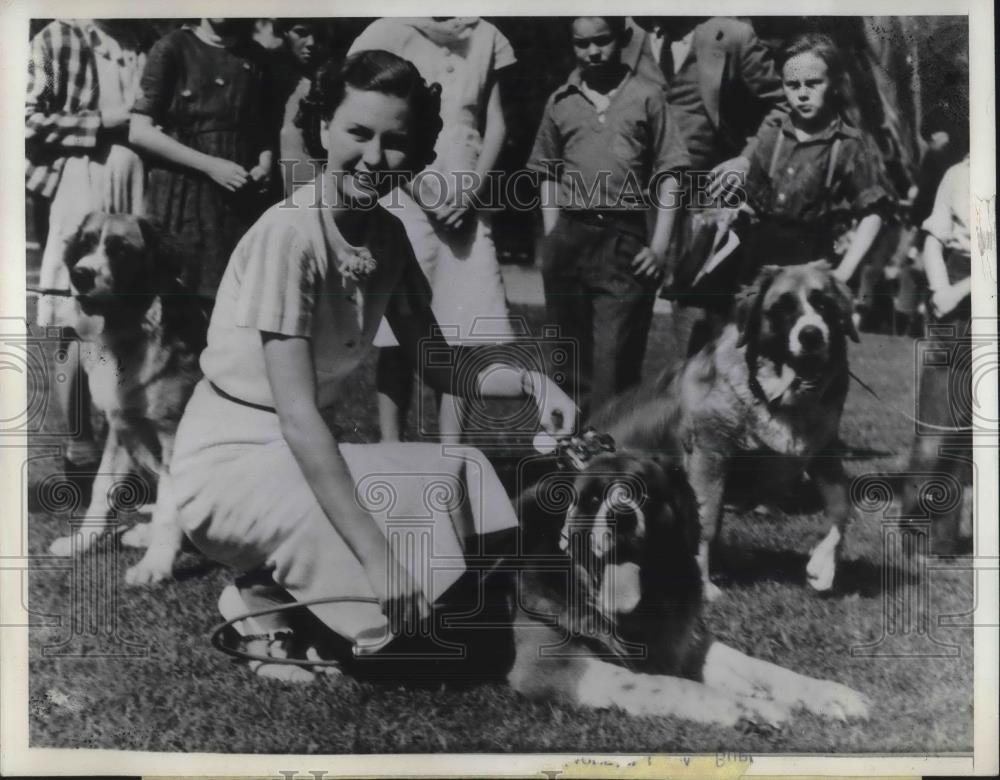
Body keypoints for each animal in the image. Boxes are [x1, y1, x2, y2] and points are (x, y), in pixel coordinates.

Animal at [47, 213, 207, 584]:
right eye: (86, 244)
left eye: (119, 251)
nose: (80, 275)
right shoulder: (120, 431)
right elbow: (100, 490)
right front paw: (80, 543)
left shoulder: (174, 436)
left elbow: (169, 508)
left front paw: (155, 566)